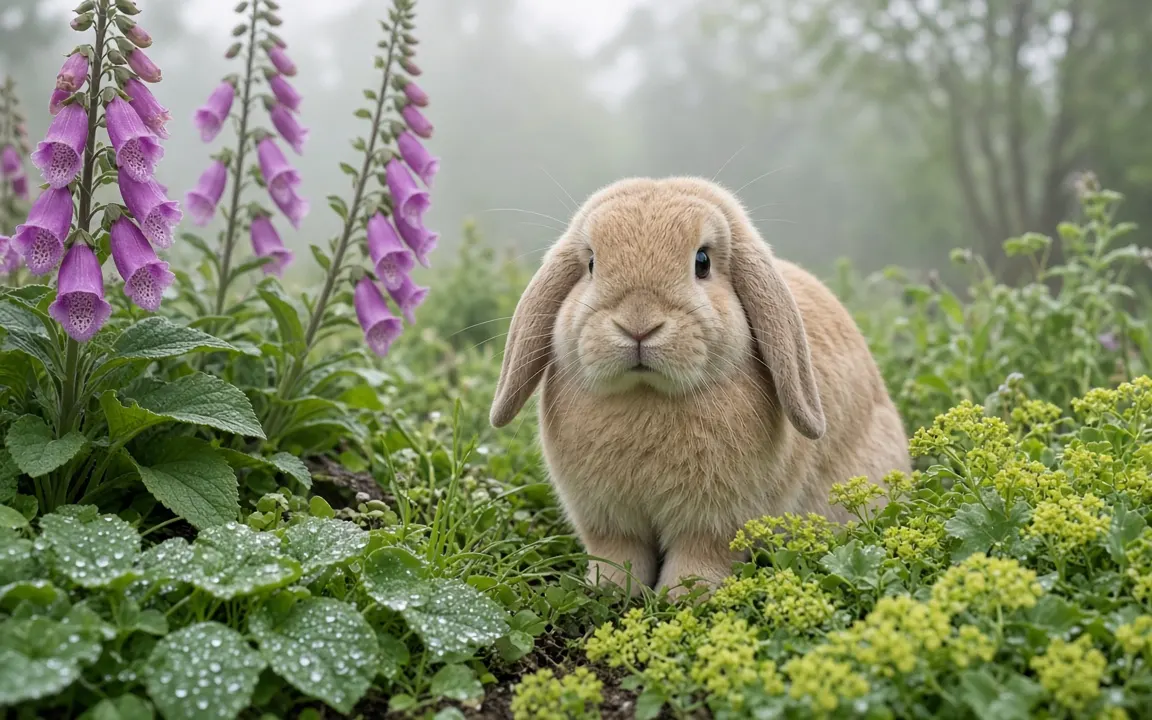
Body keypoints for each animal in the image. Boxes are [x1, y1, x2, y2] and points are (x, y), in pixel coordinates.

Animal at [490, 176, 910, 597]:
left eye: (702, 262)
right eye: (591, 263)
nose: (638, 324)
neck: (646, 394)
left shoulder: (717, 522)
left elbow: (700, 558)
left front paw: (684, 596)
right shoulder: (606, 521)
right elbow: (617, 555)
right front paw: (610, 590)